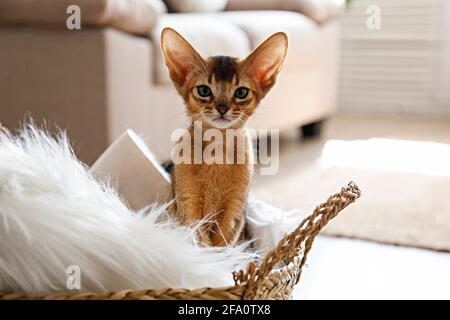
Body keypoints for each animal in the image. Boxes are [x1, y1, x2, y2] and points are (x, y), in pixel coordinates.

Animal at [162, 28, 288, 248]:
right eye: (204, 90)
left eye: (241, 92)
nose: (222, 108)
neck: (217, 151)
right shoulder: (188, 206)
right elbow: (201, 244)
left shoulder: (234, 211)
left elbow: (224, 247)